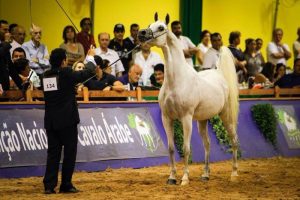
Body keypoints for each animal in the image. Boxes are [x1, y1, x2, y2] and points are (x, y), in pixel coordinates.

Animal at [138, 14, 239, 186]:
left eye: (161, 27)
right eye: (150, 24)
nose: (141, 33)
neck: (176, 81)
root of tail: (219, 74)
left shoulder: (186, 118)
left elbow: (186, 148)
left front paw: (185, 178)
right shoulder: (167, 118)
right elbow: (171, 148)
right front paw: (172, 177)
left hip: (226, 116)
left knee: (234, 140)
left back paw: (234, 174)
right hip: (203, 120)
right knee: (207, 144)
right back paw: (205, 174)